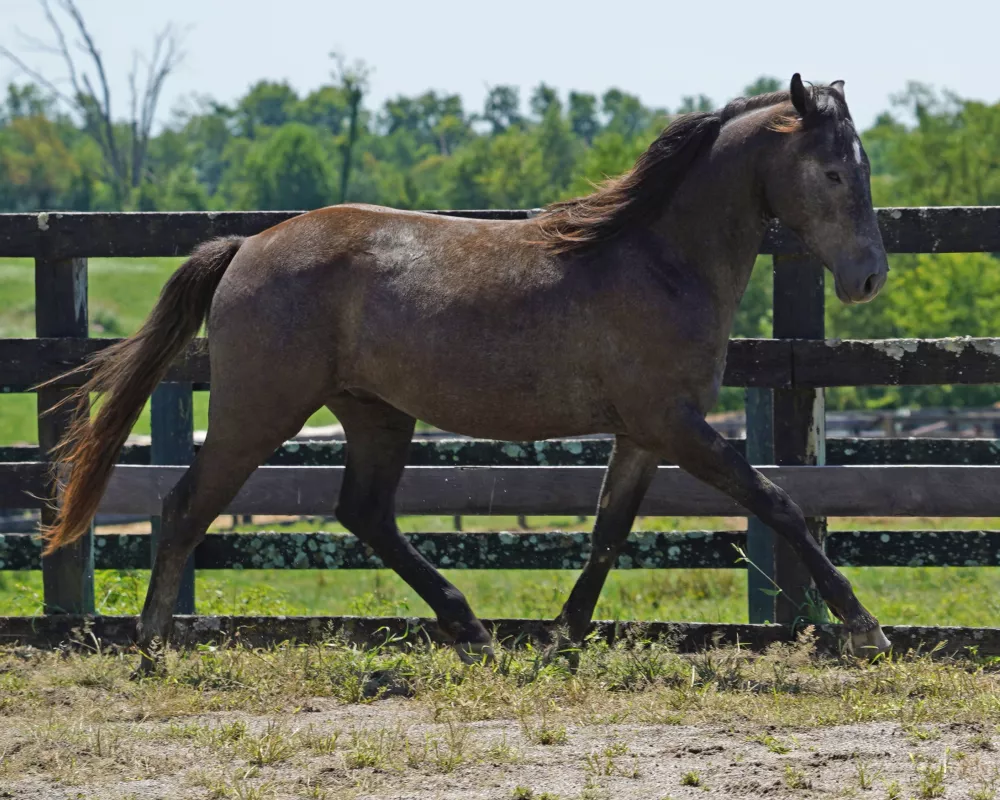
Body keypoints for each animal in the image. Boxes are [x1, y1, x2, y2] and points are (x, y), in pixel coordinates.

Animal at [41, 72, 892, 672]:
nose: (869, 278)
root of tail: (247, 246)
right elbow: (780, 503)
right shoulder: (677, 426)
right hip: (260, 410)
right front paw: (865, 627)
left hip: (376, 412)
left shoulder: (644, 435)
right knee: (187, 504)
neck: (660, 260)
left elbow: (607, 534)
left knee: (365, 514)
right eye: (832, 173)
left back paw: (473, 630)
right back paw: (152, 646)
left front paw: (560, 642)